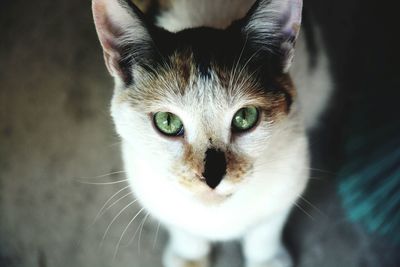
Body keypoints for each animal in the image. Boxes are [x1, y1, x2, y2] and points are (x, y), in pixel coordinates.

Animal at [92, 0, 332, 267]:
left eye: (245, 116)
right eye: (167, 121)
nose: (212, 177)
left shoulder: (291, 172)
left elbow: (266, 228)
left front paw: (265, 259)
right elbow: (180, 226)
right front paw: (189, 256)